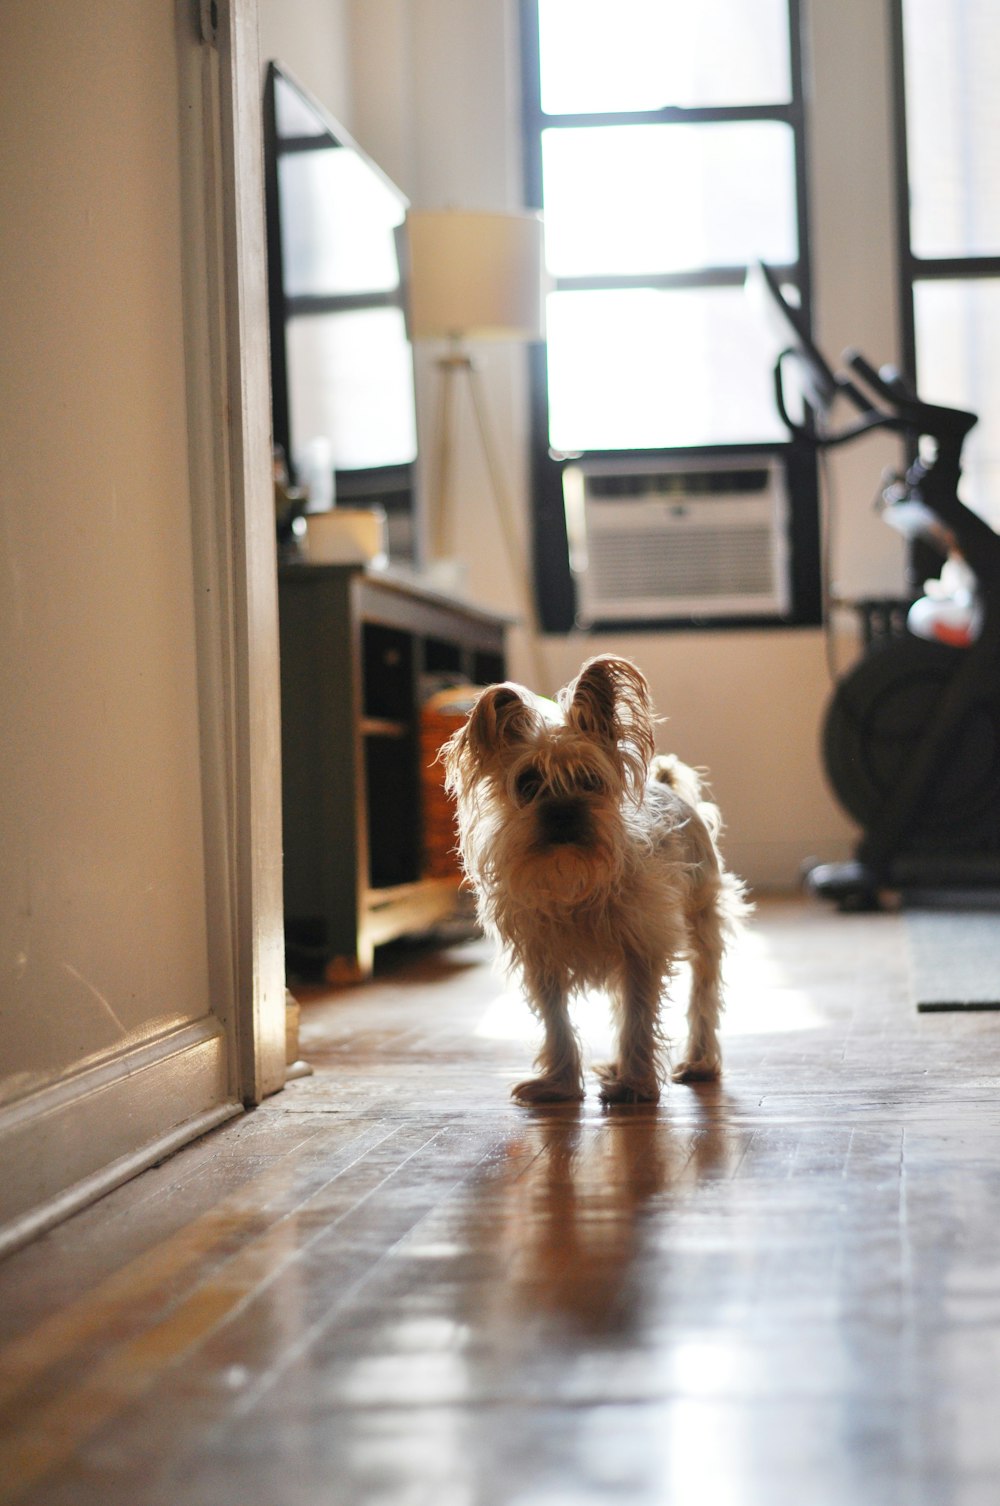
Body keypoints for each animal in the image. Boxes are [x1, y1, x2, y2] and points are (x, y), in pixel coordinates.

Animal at [442, 653, 746, 1102]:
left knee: (702, 995)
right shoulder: (543, 961)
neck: (572, 874)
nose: (563, 811)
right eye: (528, 783)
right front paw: (560, 1084)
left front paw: (634, 1085)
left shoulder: (641, 950)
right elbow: (558, 1023)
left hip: (703, 922)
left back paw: (700, 1062)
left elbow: (639, 1018)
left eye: (589, 781)